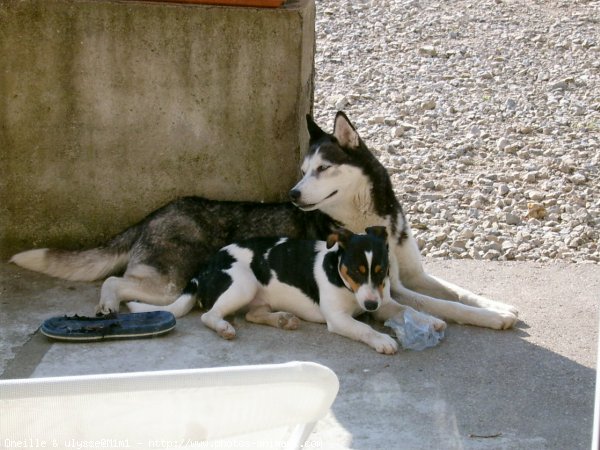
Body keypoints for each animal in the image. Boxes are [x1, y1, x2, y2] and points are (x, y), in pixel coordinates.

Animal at [9, 110, 516, 328]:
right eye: (302, 170)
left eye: (321, 169)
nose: (292, 194)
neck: (370, 215)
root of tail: (158, 209)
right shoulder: (392, 286)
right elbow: (444, 305)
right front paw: (492, 319)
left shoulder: (410, 274)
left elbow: (458, 292)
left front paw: (498, 305)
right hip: (169, 281)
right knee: (115, 282)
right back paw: (107, 307)